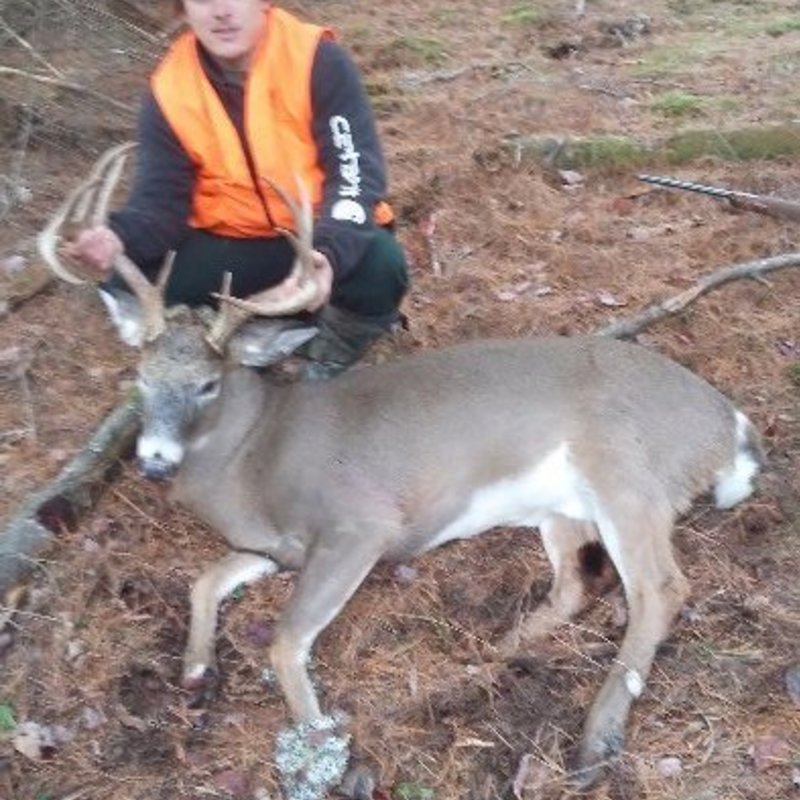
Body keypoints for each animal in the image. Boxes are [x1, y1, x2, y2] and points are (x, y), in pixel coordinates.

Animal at [39, 143, 764, 793]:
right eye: (140, 378)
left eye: (207, 384)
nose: (154, 461)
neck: (256, 461)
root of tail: (728, 424)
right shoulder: (275, 546)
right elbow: (205, 580)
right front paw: (196, 671)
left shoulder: (361, 522)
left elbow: (284, 639)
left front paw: (320, 751)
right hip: (561, 508)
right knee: (576, 585)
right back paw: (507, 643)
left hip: (624, 470)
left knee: (661, 588)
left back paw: (593, 743)